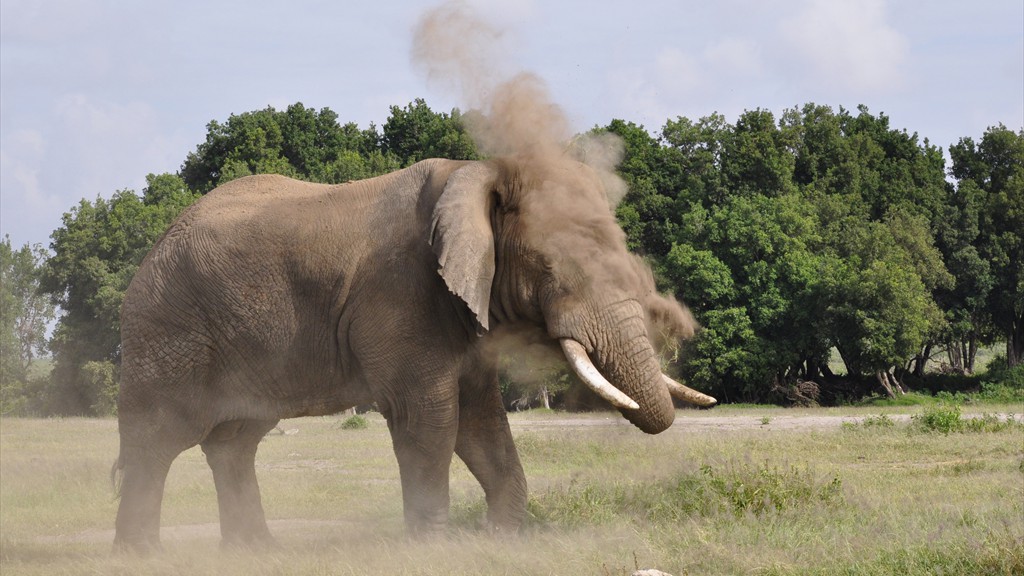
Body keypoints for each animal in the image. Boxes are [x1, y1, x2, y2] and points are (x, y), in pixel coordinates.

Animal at [112, 154, 716, 549]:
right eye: (552, 264)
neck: (475, 175)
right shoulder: (401, 294)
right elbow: (429, 418)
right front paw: (434, 552)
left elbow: (481, 421)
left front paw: (501, 544)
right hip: (167, 330)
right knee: (158, 439)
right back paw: (143, 559)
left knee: (235, 441)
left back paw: (257, 555)